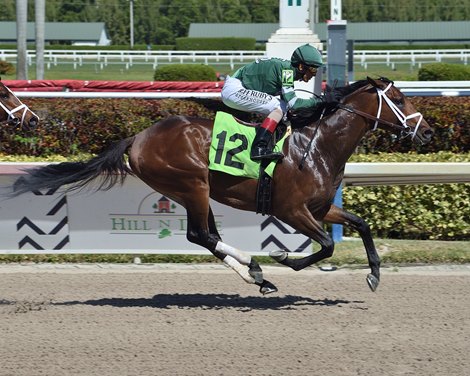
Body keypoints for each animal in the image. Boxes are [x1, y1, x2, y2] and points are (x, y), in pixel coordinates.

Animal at [11, 77, 434, 294]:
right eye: (399, 99)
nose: (428, 132)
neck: (316, 146)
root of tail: (137, 138)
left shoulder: (319, 207)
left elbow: (361, 224)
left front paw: (374, 274)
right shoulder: (290, 210)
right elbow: (326, 246)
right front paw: (284, 257)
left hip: (189, 191)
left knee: (206, 236)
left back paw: (255, 274)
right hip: (192, 184)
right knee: (201, 235)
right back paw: (257, 268)